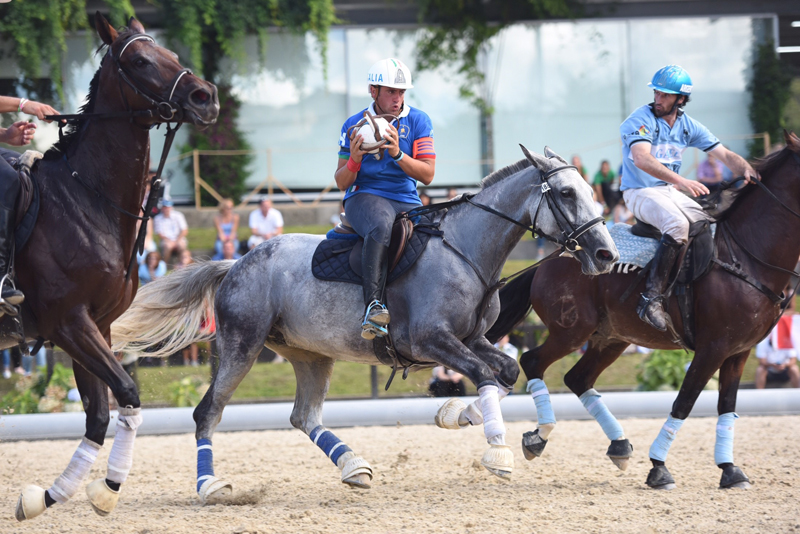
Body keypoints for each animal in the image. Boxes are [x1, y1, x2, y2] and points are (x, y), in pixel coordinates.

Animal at [11, 13, 219, 524]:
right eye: (141, 61)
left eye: (174, 55)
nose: (206, 97)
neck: (86, 199)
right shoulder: (68, 323)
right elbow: (125, 390)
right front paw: (104, 487)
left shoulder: (94, 325)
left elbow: (101, 412)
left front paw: (59, 494)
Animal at [112, 147, 616, 502]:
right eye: (566, 193)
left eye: (589, 190)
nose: (606, 254)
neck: (466, 251)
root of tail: (237, 261)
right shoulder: (430, 340)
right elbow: (486, 376)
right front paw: (497, 451)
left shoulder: (472, 338)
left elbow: (505, 372)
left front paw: (456, 415)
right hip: (242, 347)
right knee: (208, 412)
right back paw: (210, 487)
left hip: (310, 355)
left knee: (303, 416)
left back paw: (352, 466)